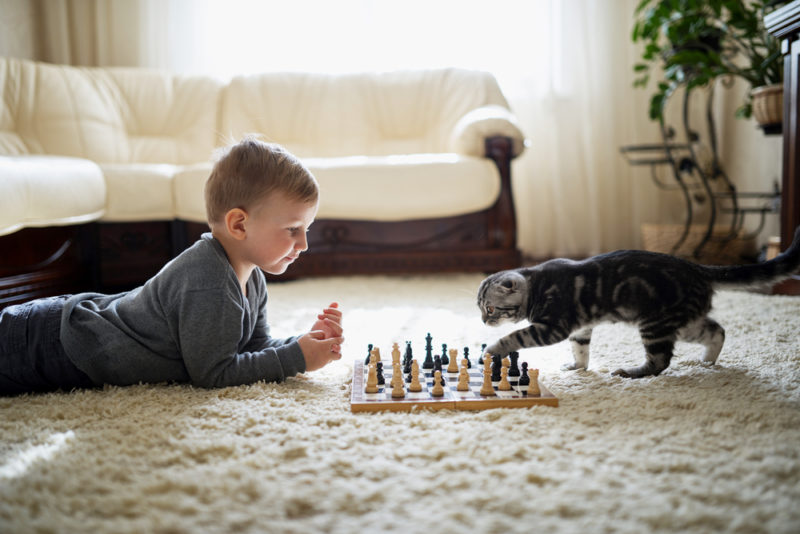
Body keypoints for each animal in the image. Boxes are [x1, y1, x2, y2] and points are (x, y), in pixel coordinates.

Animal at [478, 228, 796, 378]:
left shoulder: (551, 326)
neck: (536, 284)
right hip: (682, 322)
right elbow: (580, 350)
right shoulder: (579, 329)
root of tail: (698, 268)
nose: (482, 321)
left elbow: (515, 335)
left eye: (489, 309)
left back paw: (630, 373)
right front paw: (577, 367)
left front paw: (492, 349)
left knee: (660, 361)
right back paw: (707, 361)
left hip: (655, 324)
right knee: (717, 330)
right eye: (480, 310)